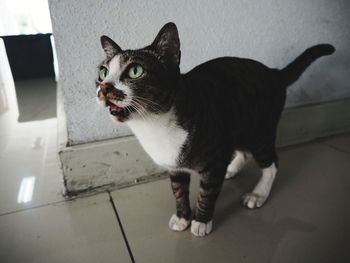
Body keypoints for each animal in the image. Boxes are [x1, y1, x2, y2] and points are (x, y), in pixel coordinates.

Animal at [95, 22, 334, 237]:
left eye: (135, 71)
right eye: (103, 73)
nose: (104, 87)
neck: (153, 124)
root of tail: (274, 72)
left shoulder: (215, 155)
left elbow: (207, 193)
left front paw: (201, 221)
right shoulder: (176, 166)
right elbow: (179, 191)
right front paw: (182, 217)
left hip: (259, 132)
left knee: (271, 163)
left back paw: (258, 193)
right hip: (238, 126)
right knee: (242, 151)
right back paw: (231, 169)